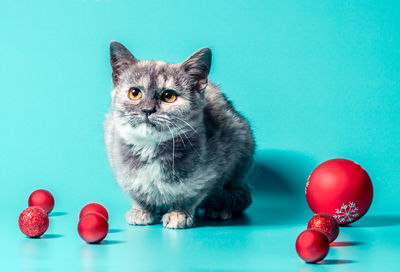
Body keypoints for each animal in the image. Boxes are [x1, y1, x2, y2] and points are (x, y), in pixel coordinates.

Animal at [103, 41, 253, 228]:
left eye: (169, 96)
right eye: (134, 93)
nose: (147, 110)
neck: (151, 147)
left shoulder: (209, 172)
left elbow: (189, 194)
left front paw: (178, 214)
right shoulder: (121, 166)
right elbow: (136, 192)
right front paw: (140, 210)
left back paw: (220, 208)